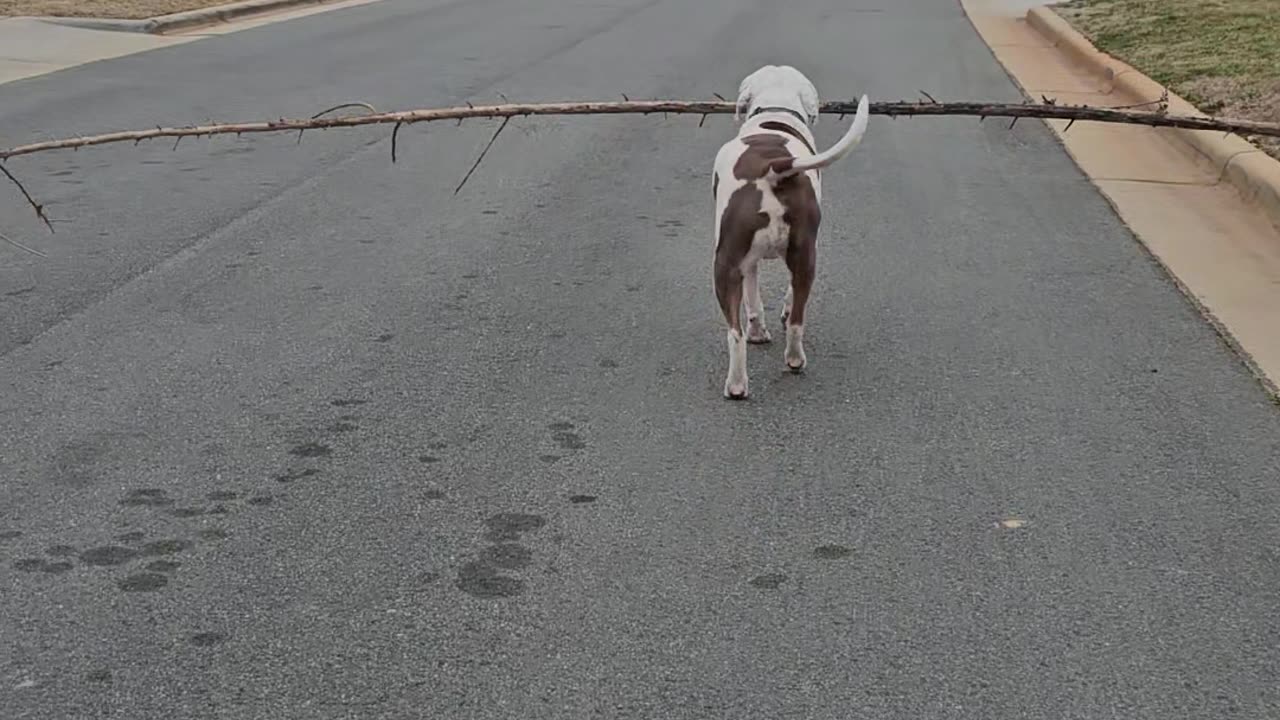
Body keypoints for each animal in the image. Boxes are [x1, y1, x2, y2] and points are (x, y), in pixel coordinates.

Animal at [711, 65, 870, 397]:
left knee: (734, 332)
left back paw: (737, 384)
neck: (775, 111)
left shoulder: (747, 262)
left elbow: (753, 300)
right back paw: (794, 358)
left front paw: (758, 332)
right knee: (797, 317)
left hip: (724, 263)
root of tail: (774, 166)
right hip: (804, 252)